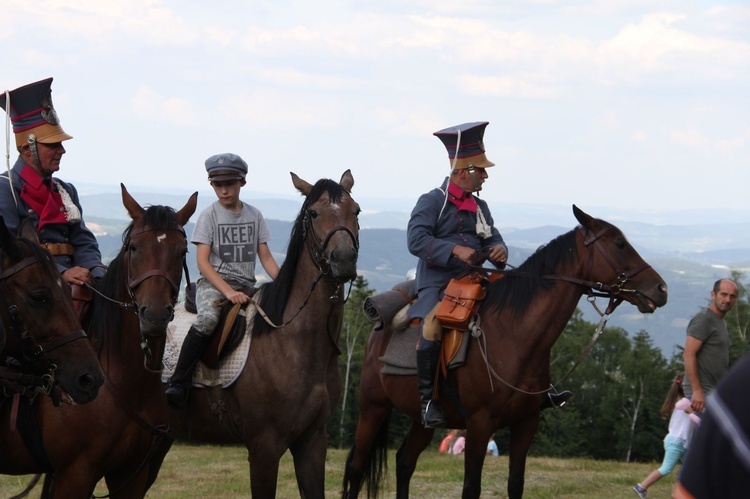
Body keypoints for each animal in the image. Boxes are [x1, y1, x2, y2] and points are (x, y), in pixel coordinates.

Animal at [153, 170, 362, 498]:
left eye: (356, 211)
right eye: (314, 213)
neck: (292, 342)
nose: (343, 259)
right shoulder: (264, 447)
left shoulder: (312, 442)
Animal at [346, 204, 668, 499]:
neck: (514, 336)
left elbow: (515, 484)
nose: (661, 289)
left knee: (405, 462)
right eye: (619, 243)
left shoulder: (526, 424)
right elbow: (471, 489)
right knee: (357, 467)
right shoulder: (478, 426)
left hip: (421, 419)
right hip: (372, 408)